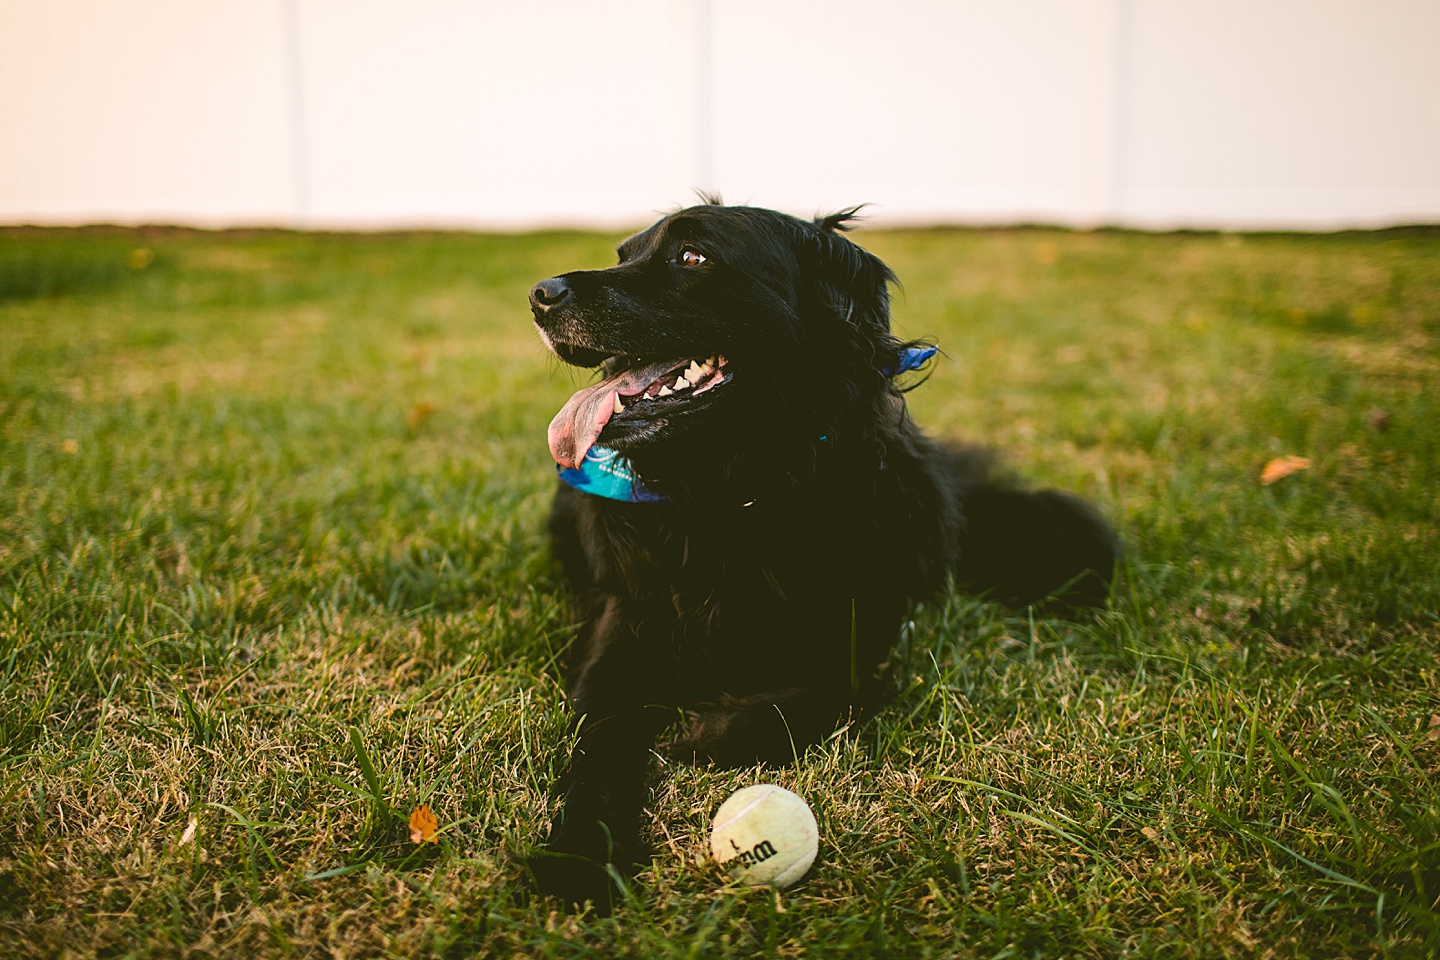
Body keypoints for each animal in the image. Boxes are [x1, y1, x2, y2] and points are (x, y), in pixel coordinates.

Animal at [524, 201, 1117, 909]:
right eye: (624, 254)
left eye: (693, 256)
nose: (540, 294)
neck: (740, 493)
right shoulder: (620, 636)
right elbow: (602, 747)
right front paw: (580, 851)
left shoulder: (870, 625)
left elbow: (830, 688)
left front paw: (710, 734)